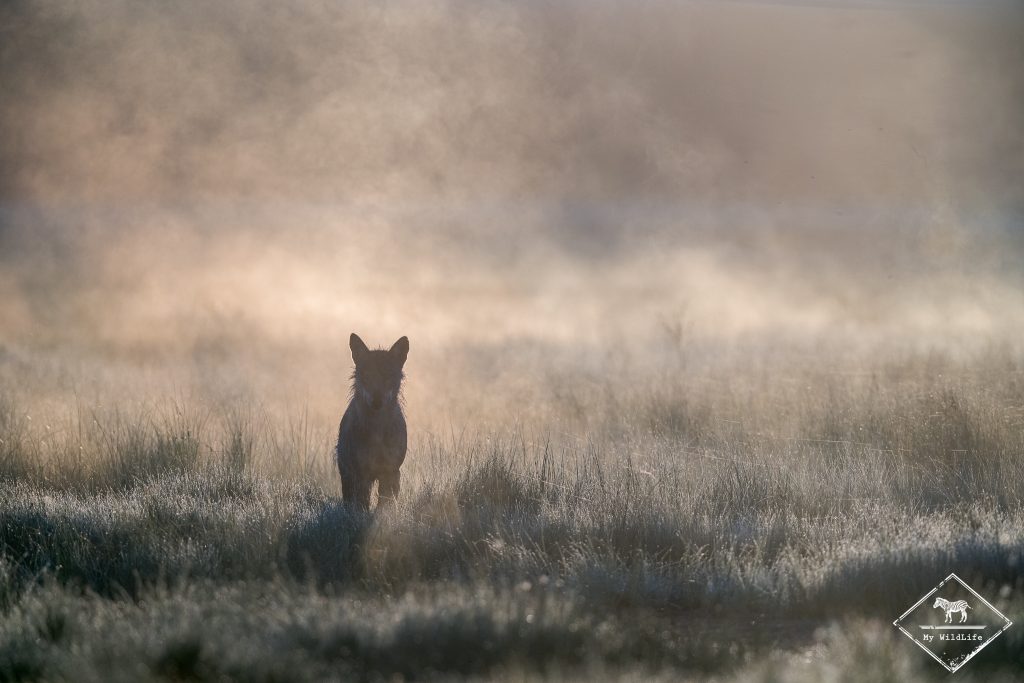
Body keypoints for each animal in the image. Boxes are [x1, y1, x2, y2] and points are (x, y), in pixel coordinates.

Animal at [335, 333, 409, 509]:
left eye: (388, 377)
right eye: (367, 376)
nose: (377, 401)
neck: (377, 429)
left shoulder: (391, 471)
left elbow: (385, 505)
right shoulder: (361, 473)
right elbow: (362, 505)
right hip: (347, 474)